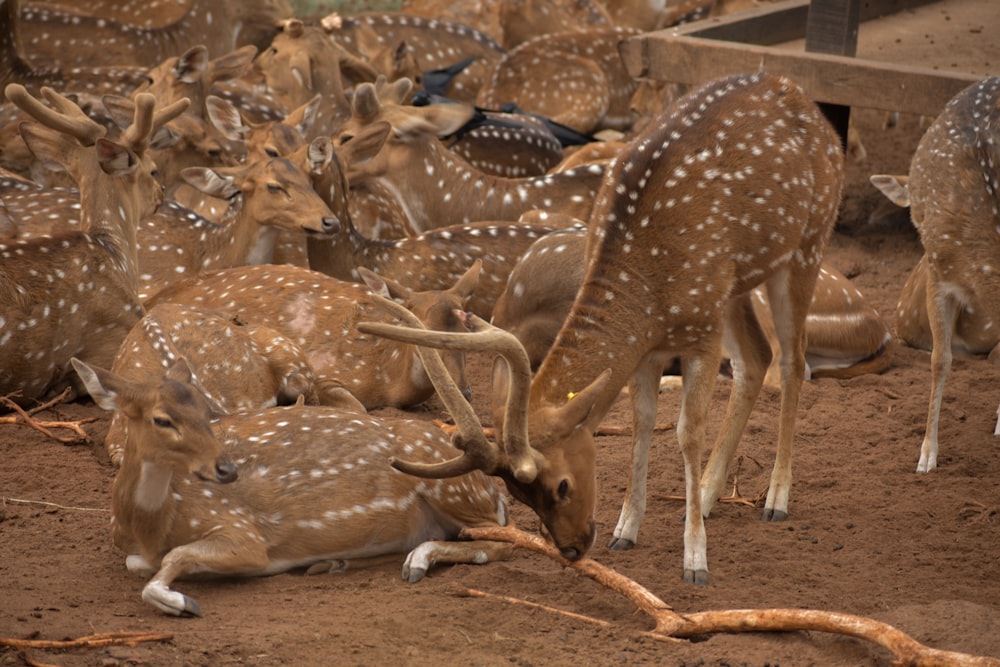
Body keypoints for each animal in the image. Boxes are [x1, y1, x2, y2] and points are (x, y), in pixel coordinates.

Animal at [360, 72, 844, 584]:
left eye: (561, 485)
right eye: (517, 495)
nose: (571, 549)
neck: (648, 285)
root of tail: (806, 101)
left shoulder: (700, 332)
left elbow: (687, 432)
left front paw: (695, 560)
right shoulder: (649, 345)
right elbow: (642, 422)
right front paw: (626, 530)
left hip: (808, 243)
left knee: (792, 360)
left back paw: (776, 499)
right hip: (735, 283)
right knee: (755, 358)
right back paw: (708, 497)